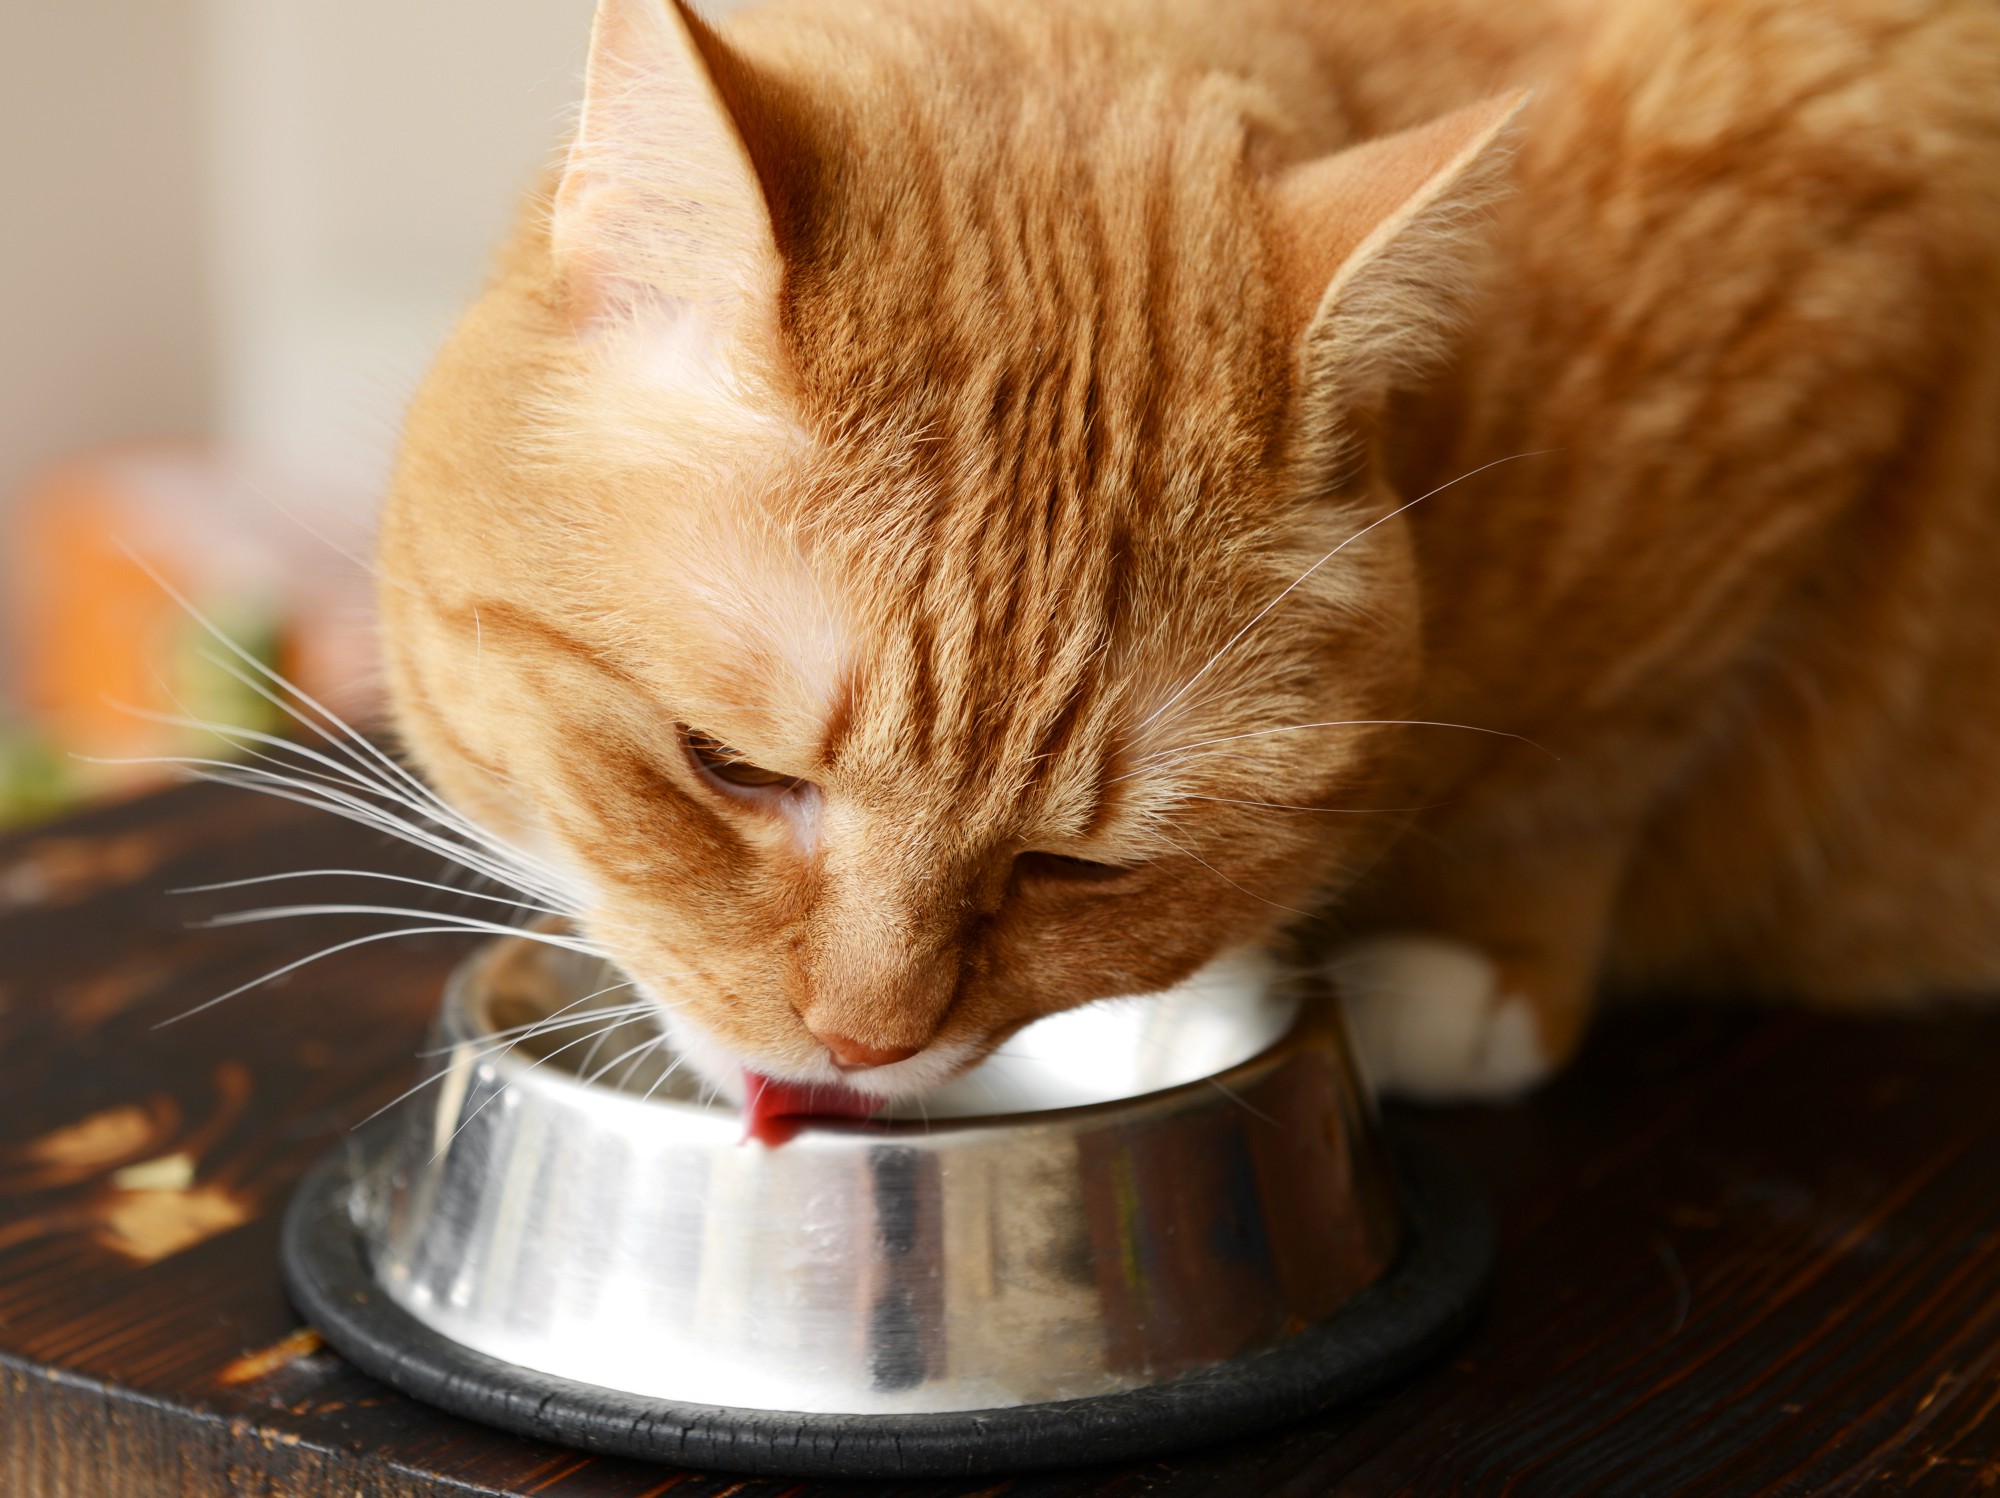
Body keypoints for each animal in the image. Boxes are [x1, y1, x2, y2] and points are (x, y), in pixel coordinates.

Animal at [376, 0, 2000, 1096]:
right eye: (727, 768)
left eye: (1077, 868)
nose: (858, 1043)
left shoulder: (1826, 284)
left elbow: (1584, 760)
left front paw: (1464, 973)